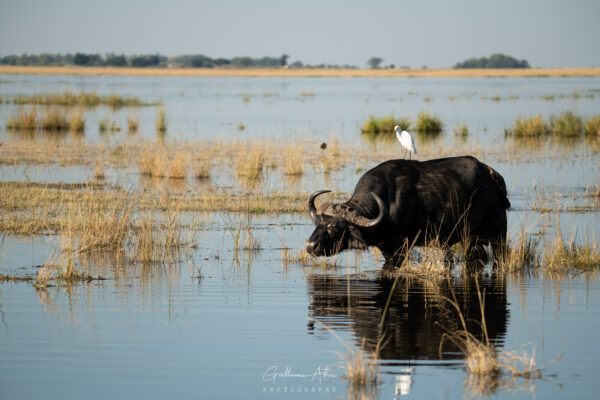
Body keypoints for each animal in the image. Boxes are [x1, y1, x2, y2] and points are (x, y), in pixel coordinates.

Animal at [308, 156, 508, 268]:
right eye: (317, 224)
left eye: (334, 227)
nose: (310, 246)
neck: (387, 204)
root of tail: (491, 175)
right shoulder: (387, 249)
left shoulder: (401, 248)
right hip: (473, 240)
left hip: (498, 235)